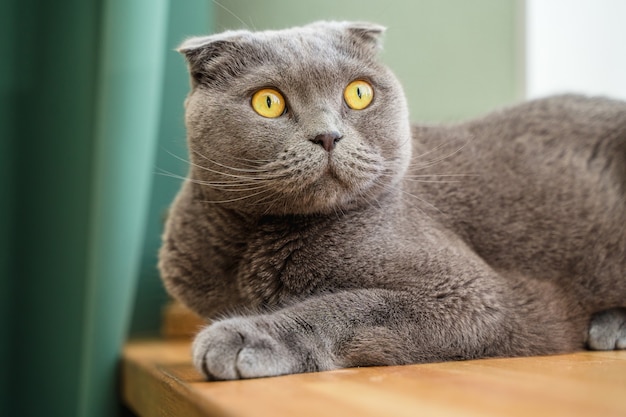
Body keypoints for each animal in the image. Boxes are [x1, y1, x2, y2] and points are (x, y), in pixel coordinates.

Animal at [157, 22, 624, 380]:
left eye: (359, 93)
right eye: (268, 101)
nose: (328, 135)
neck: (255, 244)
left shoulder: (472, 294)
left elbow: (347, 305)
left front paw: (244, 337)